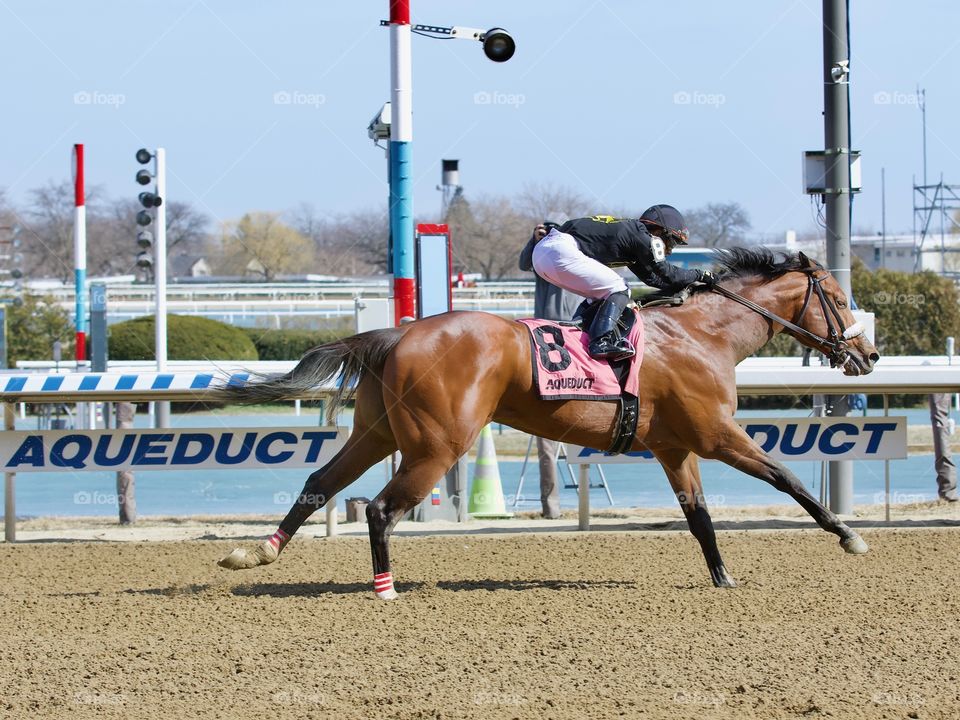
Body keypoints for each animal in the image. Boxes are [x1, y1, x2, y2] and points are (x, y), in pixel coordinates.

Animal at [218, 250, 876, 600]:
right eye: (840, 299)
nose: (866, 355)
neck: (703, 334)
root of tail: (394, 333)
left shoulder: (674, 448)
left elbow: (700, 518)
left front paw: (722, 577)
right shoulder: (717, 436)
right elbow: (788, 479)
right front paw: (849, 535)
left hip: (376, 433)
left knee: (319, 484)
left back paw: (256, 553)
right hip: (437, 445)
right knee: (381, 508)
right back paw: (385, 588)